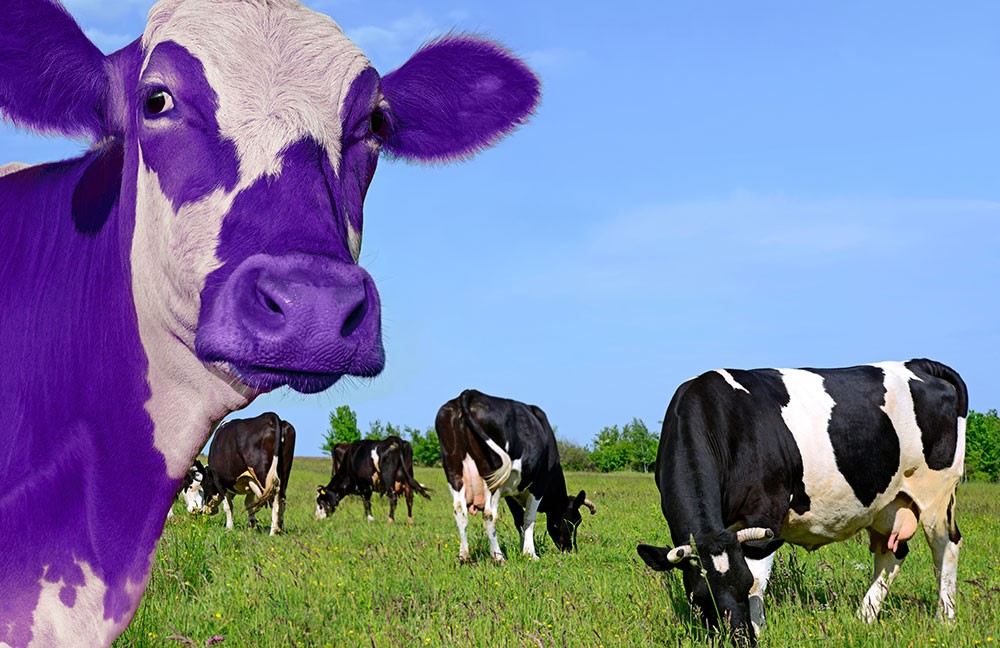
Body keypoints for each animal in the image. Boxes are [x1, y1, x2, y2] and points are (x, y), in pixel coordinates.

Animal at [436, 390, 596, 563]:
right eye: (573, 521)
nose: (569, 549)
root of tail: (470, 393)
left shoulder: (511, 494)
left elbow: (518, 519)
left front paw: (522, 549)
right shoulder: (539, 485)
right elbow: (529, 518)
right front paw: (530, 553)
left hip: (454, 473)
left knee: (460, 511)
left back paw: (465, 557)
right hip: (492, 479)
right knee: (489, 515)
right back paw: (498, 557)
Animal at [636, 359, 967, 645]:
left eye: (742, 584)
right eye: (701, 596)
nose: (742, 640)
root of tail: (917, 363)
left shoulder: (766, 510)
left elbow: (759, 579)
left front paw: (759, 628)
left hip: (936, 495)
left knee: (946, 547)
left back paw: (945, 619)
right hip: (889, 504)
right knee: (893, 553)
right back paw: (863, 617)